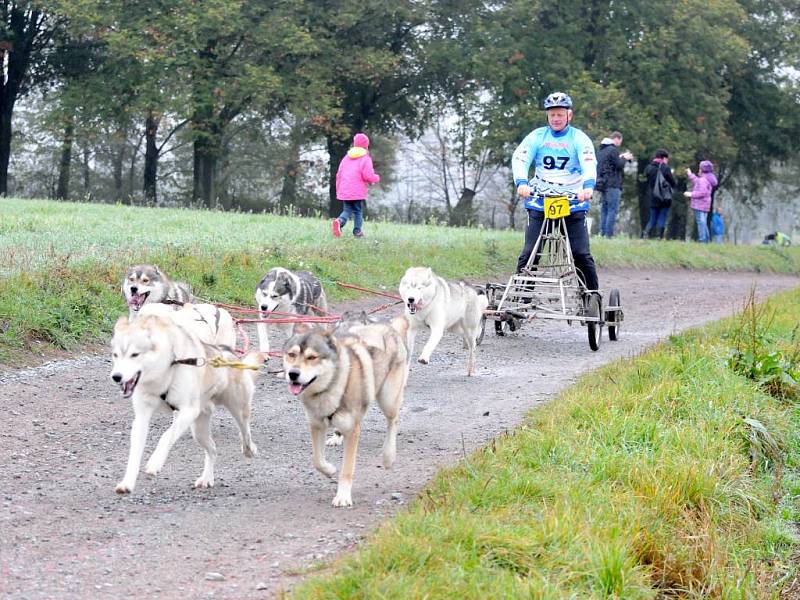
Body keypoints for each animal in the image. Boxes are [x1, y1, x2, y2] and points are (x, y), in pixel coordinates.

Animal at [109, 312, 264, 494]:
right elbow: (134, 454)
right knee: (212, 449)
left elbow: (165, 436)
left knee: (245, 432)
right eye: (115, 355)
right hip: (198, 430)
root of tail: (229, 355)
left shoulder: (188, 410)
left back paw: (249, 449)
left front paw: (155, 462)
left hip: (237, 410)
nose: (116, 376)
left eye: (135, 354)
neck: (167, 367)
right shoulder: (142, 418)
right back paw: (207, 478)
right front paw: (127, 482)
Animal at [284, 316, 410, 508]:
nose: (293, 374)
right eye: (292, 355)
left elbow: (347, 469)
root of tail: (389, 327)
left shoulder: (352, 431)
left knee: (393, 421)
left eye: (312, 357)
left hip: (388, 399)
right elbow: (317, 460)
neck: (331, 387)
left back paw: (388, 456)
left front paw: (343, 496)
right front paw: (329, 469)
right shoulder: (316, 425)